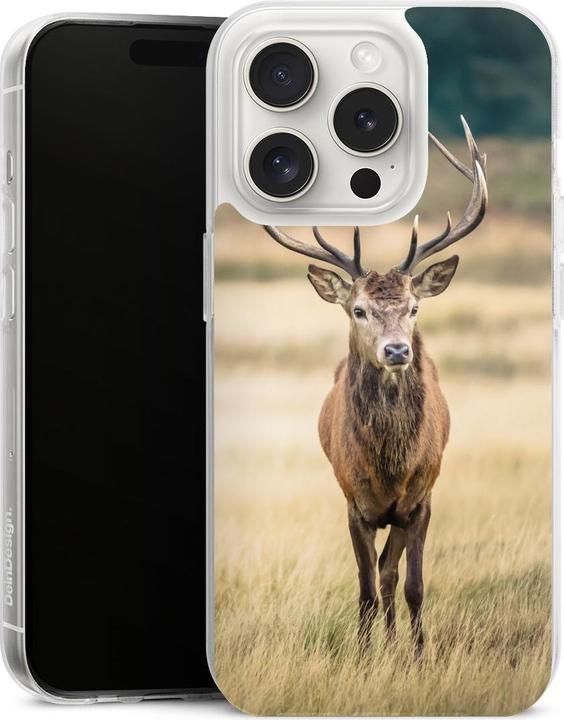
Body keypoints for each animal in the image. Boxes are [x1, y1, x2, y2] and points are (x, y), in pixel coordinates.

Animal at [262, 117, 487, 654]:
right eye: (359, 309)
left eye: (414, 308)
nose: (398, 350)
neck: (389, 466)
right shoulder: (353, 502)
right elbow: (364, 587)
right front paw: (365, 657)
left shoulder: (421, 499)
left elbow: (412, 585)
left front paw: (420, 655)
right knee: (378, 575)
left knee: (391, 573)